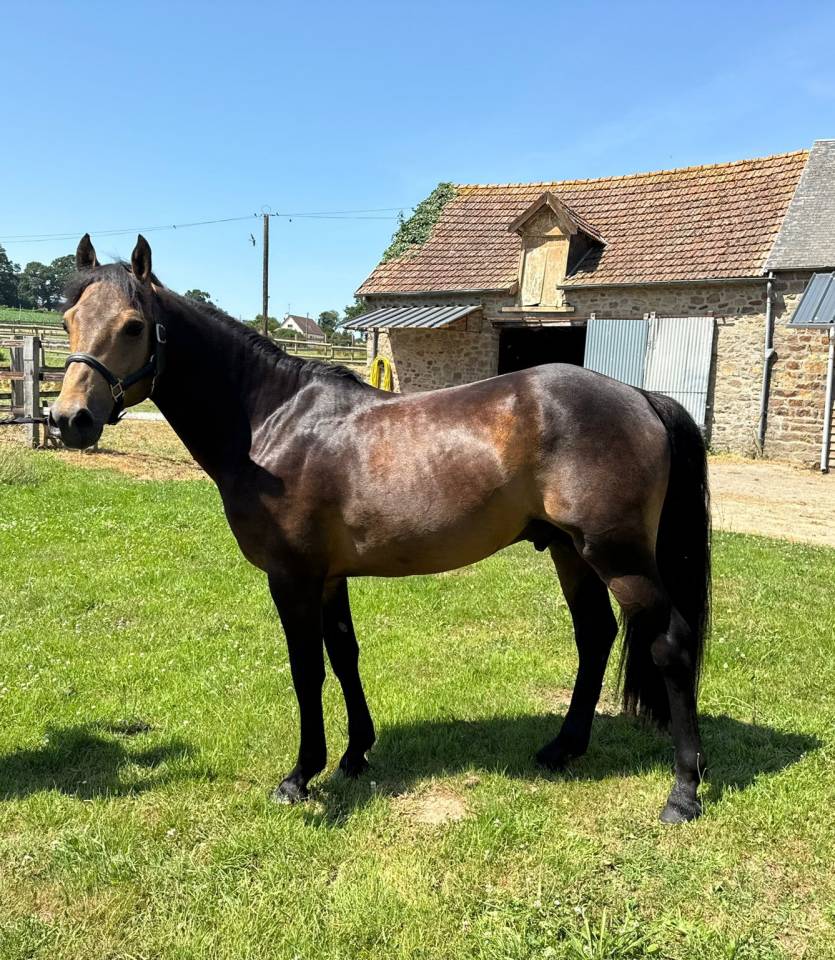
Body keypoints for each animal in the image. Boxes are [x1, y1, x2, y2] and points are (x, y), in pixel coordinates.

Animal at [50, 234, 711, 823]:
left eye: (134, 325)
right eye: (67, 319)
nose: (69, 419)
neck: (272, 422)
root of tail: (641, 396)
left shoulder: (292, 578)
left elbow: (307, 669)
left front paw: (301, 775)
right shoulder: (329, 576)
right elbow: (344, 655)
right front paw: (354, 753)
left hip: (619, 558)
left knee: (671, 646)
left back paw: (683, 791)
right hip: (571, 553)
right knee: (595, 636)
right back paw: (562, 749)